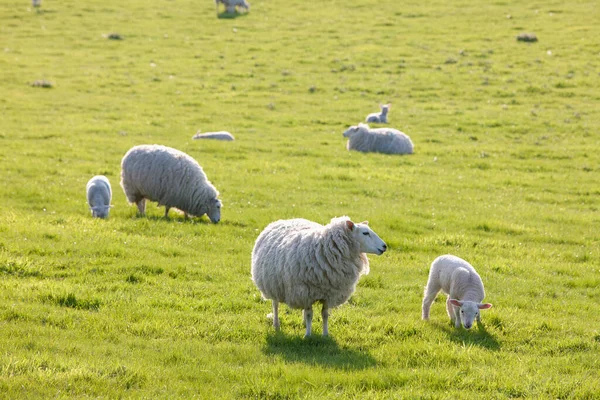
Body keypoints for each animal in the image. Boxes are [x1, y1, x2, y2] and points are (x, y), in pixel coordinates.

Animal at [251, 217, 386, 336]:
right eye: (365, 233)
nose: (385, 246)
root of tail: (283, 220)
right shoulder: (305, 292)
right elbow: (310, 314)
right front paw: (308, 335)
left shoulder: (329, 293)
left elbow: (325, 314)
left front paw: (325, 334)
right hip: (273, 284)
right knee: (275, 305)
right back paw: (276, 324)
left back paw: (303, 323)